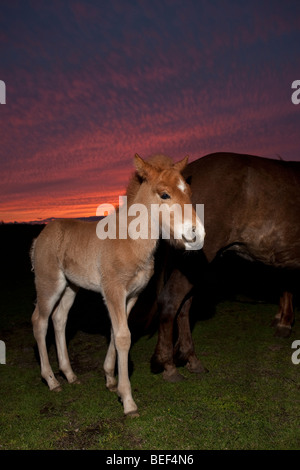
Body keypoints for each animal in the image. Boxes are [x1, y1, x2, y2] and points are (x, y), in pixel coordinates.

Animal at [30, 153, 205, 414]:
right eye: (165, 194)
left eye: (189, 192)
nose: (196, 234)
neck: (130, 241)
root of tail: (40, 237)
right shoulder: (113, 291)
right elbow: (124, 337)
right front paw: (128, 400)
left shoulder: (132, 295)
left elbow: (115, 332)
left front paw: (110, 380)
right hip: (48, 283)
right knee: (40, 322)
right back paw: (52, 381)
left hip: (71, 287)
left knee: (59, 319)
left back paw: (70, 375)